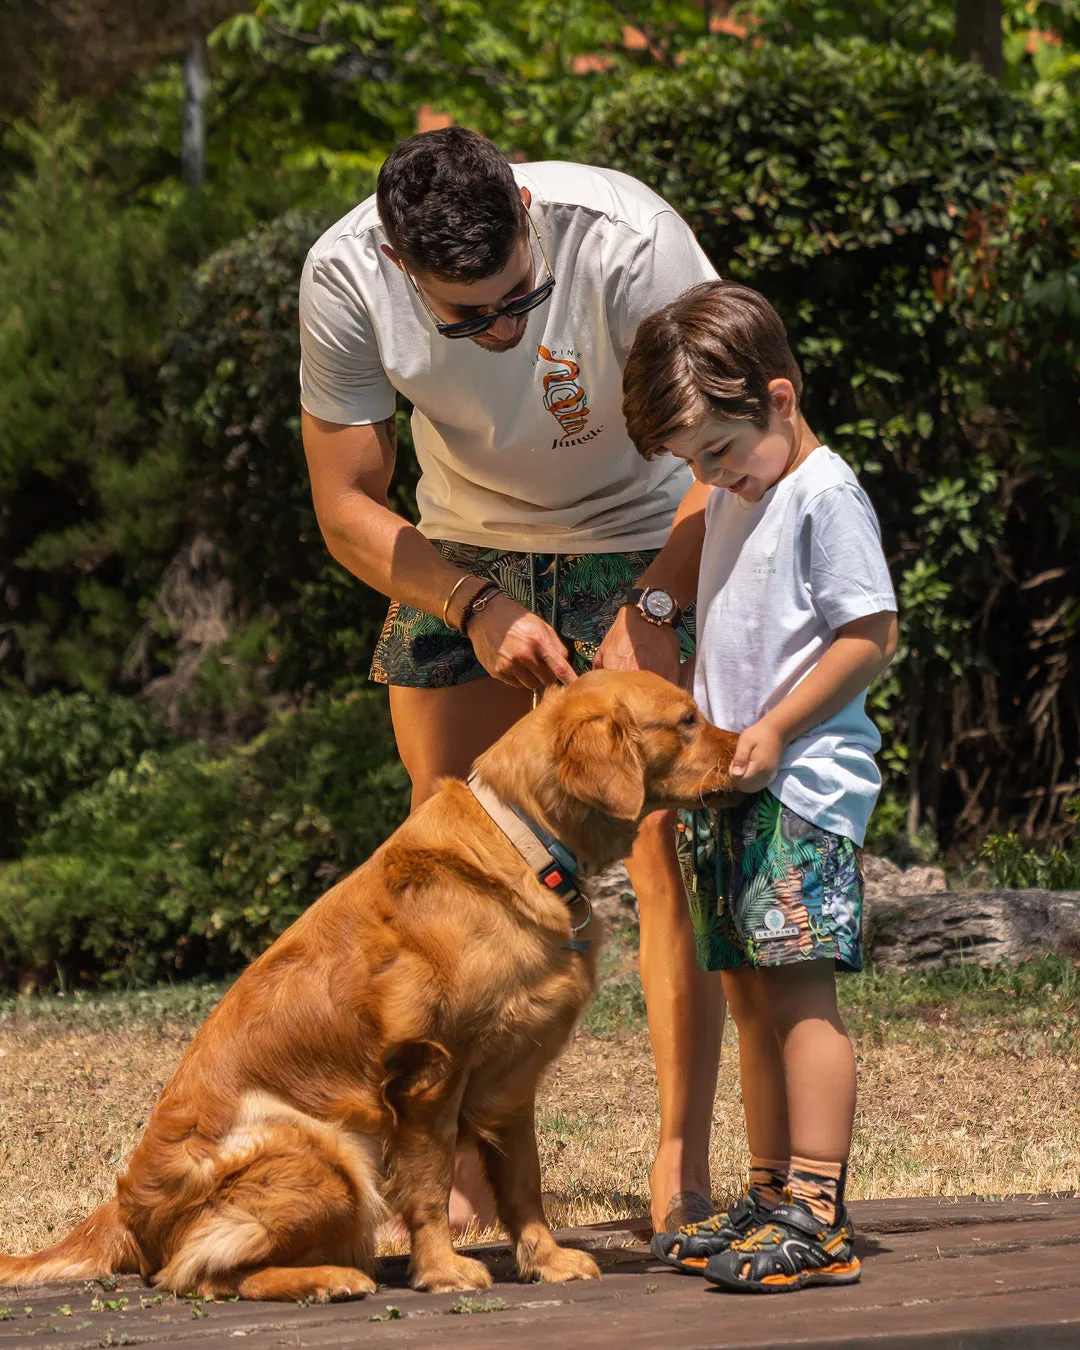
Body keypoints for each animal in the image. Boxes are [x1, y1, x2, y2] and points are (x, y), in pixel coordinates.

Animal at [0, 669, 739, 1301]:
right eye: (688, 720)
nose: (747, 749)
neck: (525, 843)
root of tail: (123, 1208)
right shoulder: (429, 1075)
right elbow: (430, 1188)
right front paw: (443, 1270)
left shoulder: (508, 1081)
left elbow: (523, 1183)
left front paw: (547, 1260)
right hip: (330, 1157)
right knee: (196, 1275)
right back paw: (330, 1279)